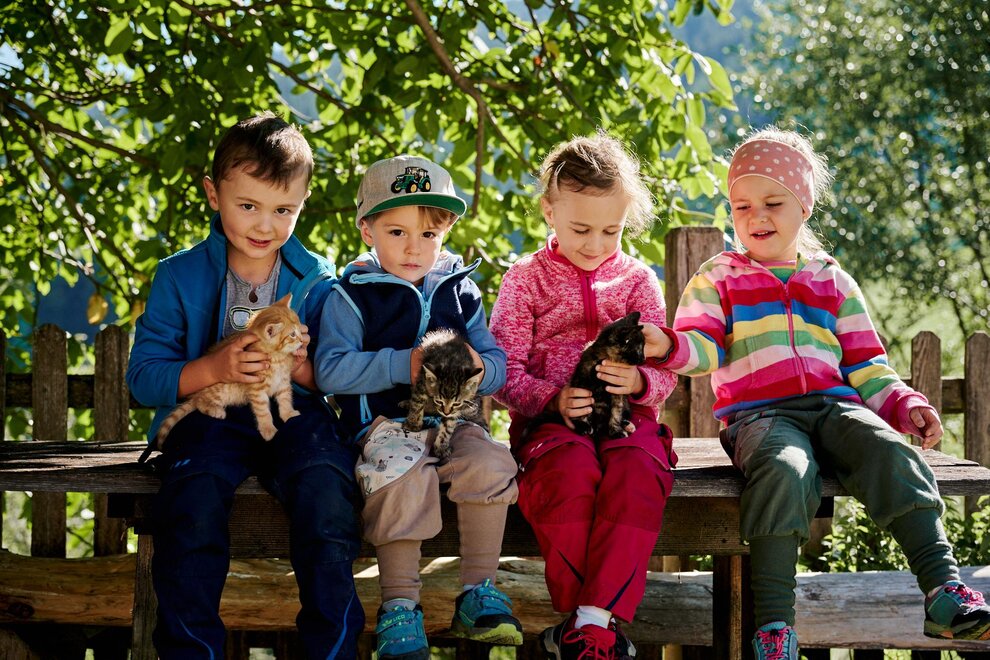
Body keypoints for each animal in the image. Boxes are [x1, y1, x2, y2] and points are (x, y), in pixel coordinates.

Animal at [152, 293, 304, 447]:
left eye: (300, 328)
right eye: (292, 334)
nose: (303, 340)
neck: (278, 357)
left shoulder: (283, 382)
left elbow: (285, 399)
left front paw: (288, 414)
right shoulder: (257, 389)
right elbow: (262, 411)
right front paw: (268, 429)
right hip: (222, 388)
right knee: (200, 401)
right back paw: (214, 410)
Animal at [401, 329, 486, 459]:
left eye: (456, 404)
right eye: (439, 401)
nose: (445, 412)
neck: (453, 362)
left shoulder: (456, 410)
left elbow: (448, 426)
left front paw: (441, 447)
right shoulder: (422, 381)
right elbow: (417, 404)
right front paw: (413, 424)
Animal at [524, 312, 646, 442]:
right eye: (639, 349)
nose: (643, 358)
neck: (604, 359)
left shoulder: (617, 391)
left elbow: (616, 412)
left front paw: (615, 431)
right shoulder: (581, 384)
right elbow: (581, 410)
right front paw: (582, 426)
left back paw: (627, 425)